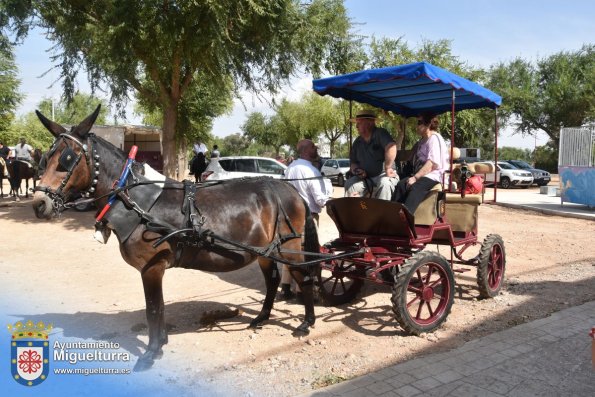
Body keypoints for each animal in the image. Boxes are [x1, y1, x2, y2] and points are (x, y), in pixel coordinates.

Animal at [31, 106, 322, 372]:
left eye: (67, 159)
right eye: (46, 158)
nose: (39, 203)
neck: (137, 202)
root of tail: (290, 189)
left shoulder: (152, 268)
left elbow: (153, 309)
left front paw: (150, 353)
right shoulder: (153, 270)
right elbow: (158, 307)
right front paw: (160, 344)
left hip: (289, 247)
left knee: (303, 276)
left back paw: (306, 323)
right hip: (264, 250)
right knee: (272, 280)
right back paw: (261, 317)